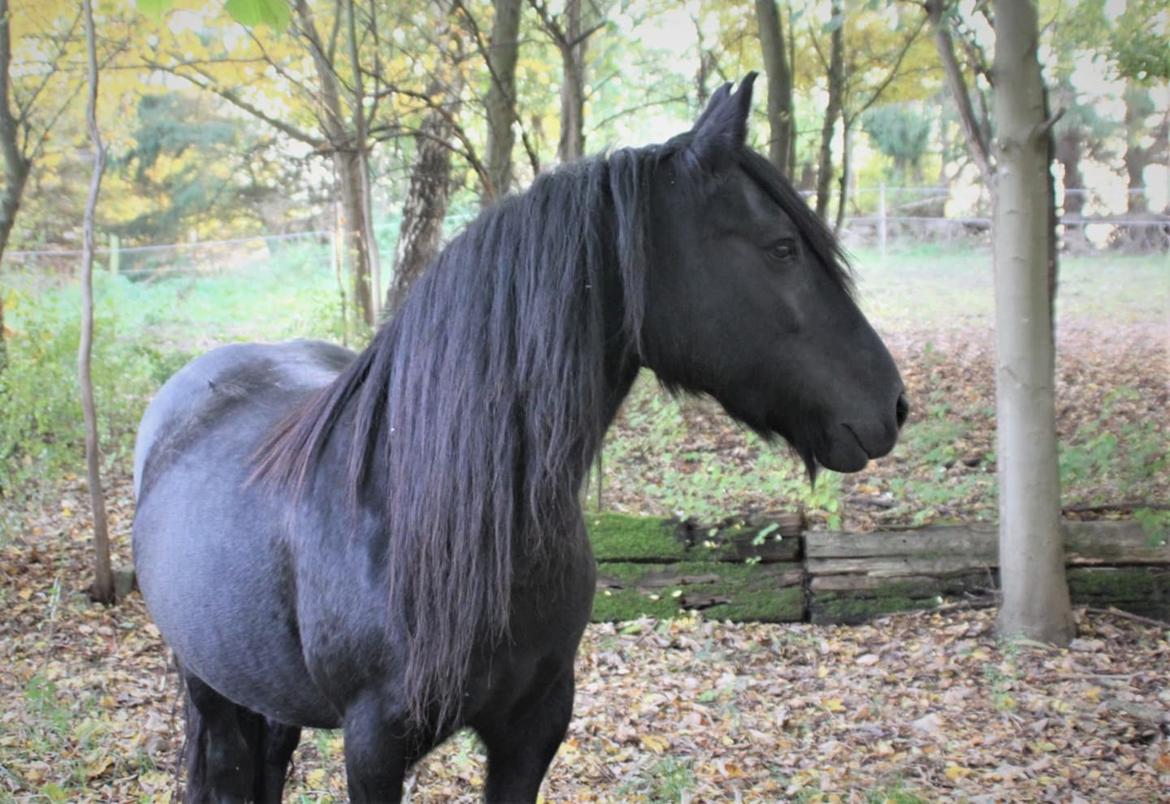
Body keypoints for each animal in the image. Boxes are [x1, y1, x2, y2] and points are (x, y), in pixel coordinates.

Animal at [132, 74, 908, 802]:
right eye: (781, 249)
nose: (892, 405)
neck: (428, 514)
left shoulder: (533, 726)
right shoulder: (373, 746)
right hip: (207, 683)